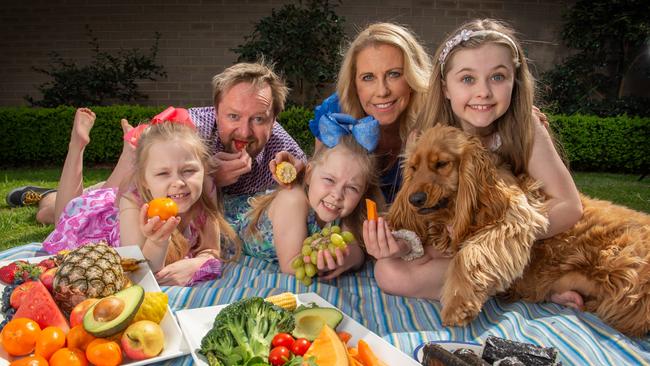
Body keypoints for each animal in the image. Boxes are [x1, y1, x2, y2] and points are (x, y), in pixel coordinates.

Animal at [384, 124, 648, 336]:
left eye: (441, 164)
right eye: (414, 168)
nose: (415, 199)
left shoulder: (516, 221)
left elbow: (467, 255)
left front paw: (457, 305)